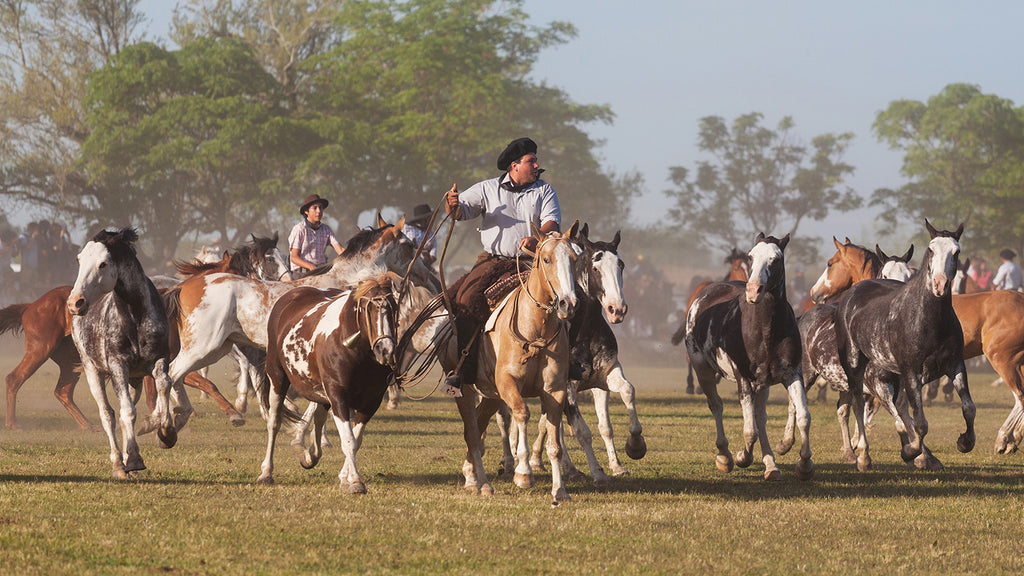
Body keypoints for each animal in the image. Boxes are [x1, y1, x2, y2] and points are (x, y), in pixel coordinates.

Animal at [66, 227, 180, 475]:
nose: (75, 302)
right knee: (108, 414)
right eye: (79, 260)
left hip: (134, 381)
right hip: (93, 372)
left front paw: (166, 434)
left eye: (103, 264)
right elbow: (126, 412)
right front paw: (135, 459)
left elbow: (164, 386)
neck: (134, 318)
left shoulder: (159, 360)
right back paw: (120, 463)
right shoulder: (118, 367)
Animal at [256, 272, 399, 487]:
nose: (385, 350)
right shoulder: (338, 395)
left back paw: (311, 456)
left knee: (318, 417)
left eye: (394, 308)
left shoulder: (371, 401)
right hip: (277, 377)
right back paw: (266, 472)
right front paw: (355, 481)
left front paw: (345, 476)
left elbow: (356, 440)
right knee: (274, 423)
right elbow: (349, 441)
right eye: (367, 308)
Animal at [831, 219, 974, 467]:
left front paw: (965, 442)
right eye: (931, 249)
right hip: (855, 366)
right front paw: (910, 452)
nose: (939, 285)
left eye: (956, 251)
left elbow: (968, 408)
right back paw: (863, 456)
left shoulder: (955, 365)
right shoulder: (910, 372)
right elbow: (918, 423)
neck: (929, 318)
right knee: (858, 404)